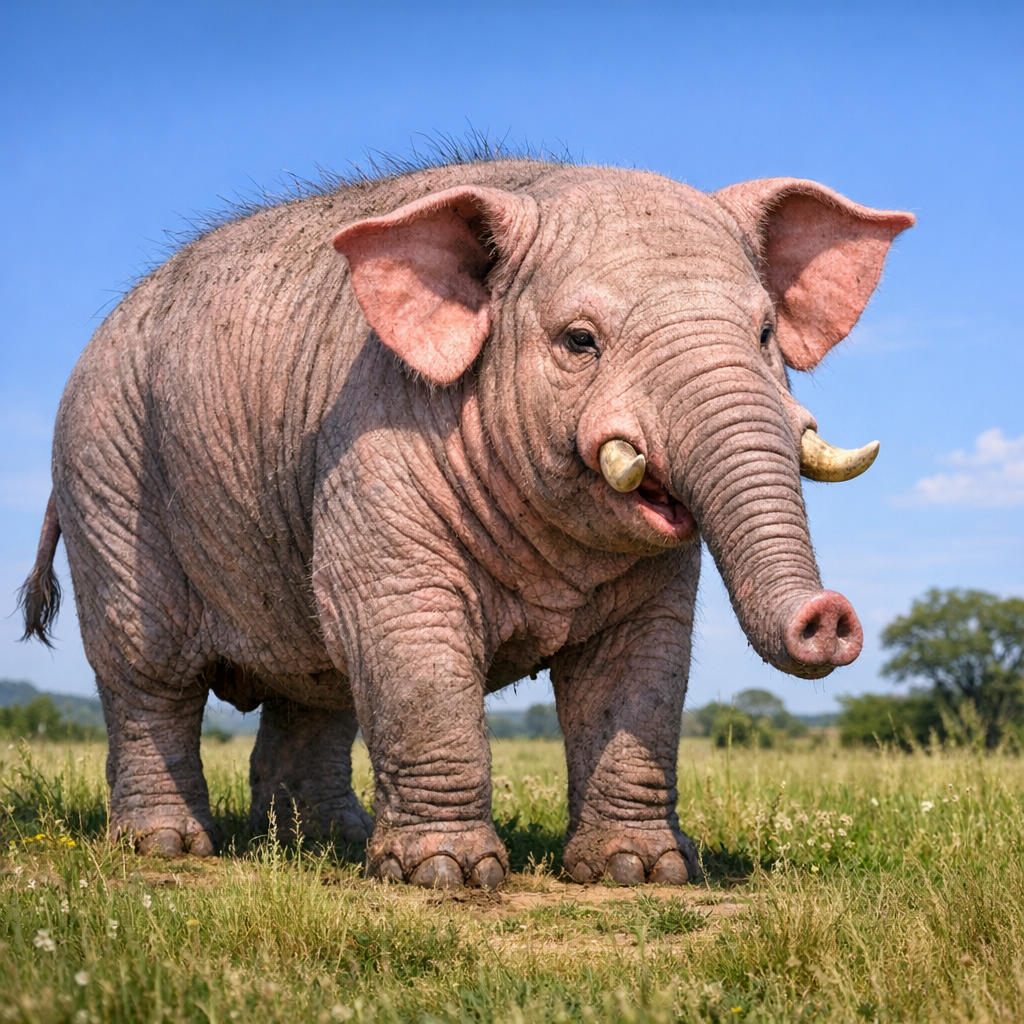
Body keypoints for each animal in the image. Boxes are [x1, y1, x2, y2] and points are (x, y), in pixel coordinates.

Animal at [20, 156, 913, 887]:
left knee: (316, 684)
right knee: (148, 677)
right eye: (580, 341)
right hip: (107, 474)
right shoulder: (374, 437)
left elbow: (640, 667)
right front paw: (447, 876)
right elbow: (409, 639)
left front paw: (640, 872)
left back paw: (331, 847)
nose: (830, 619)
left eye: (765, 334)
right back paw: (168, 848)